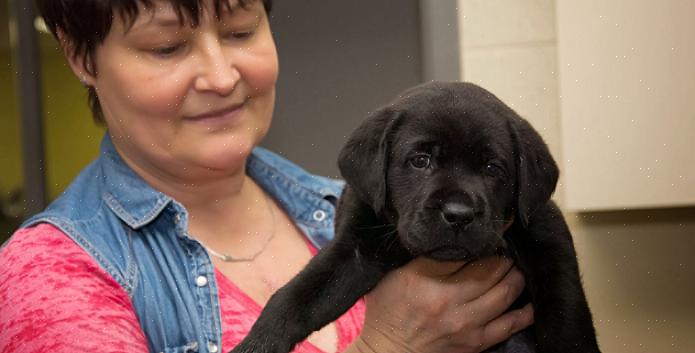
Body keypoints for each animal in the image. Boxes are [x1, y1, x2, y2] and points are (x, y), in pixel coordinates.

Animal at [231, 82, 600, 352]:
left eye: (492, 168)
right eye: (420, 161)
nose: (459, 215)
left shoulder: (548, 242)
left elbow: (566, 317)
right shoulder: (355, 248)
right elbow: (297, 296)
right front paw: (257, 344)